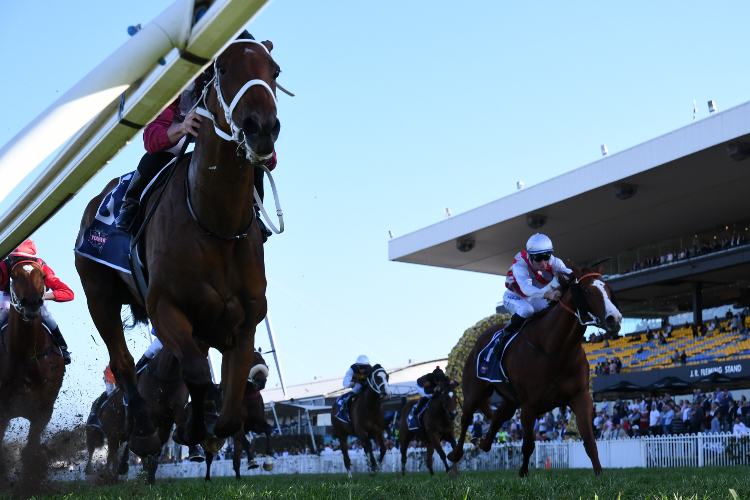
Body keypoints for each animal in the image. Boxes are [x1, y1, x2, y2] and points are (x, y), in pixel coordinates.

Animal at [0, 260, 65, 478]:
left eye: (43, 276)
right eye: (13, 276)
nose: (32, 303)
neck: (25, 357)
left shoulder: (43, 412)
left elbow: (31, 451)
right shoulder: (3, 411)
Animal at [76, 33, 284, 458]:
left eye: (274, 71)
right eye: (223, 68)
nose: (261, 128)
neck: (215, 226)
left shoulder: (244, 324)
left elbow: (229, 411)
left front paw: (203, 426)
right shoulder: (164, 308)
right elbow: (197, 373)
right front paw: (189, 430)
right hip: (99, 295)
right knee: (122, 362)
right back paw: (141, 429)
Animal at [446, 262, 624, 476]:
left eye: (607, 288)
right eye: (587, 291)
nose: (615, 318)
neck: (556, 349)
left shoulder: (580, 396)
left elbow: (589, 441)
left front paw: (599, 475)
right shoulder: (529, 405)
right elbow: (528, 445)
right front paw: (523, 474)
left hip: (510, 401)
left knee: (497, 418)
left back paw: (482, 442)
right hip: (475, 391)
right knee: (466, 418)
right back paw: (455, 454)